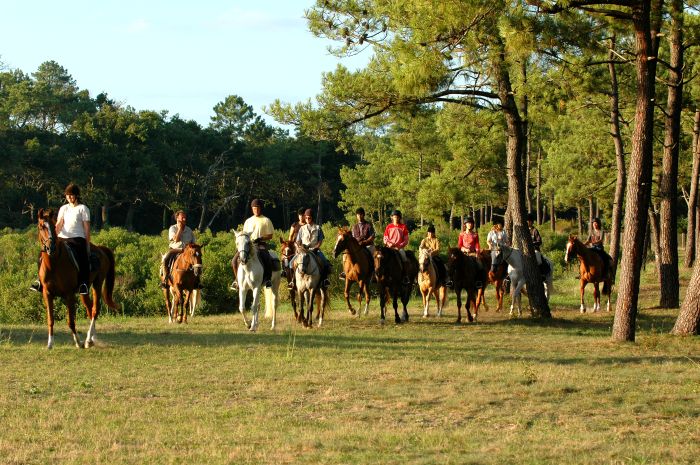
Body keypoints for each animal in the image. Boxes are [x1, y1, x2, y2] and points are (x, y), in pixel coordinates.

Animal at [36, 208, 117, 348]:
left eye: (52, 226)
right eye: (42, 227)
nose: (51, 247)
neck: (54, 264)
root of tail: (100, 249)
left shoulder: (69, 294)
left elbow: (71, 321)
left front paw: (78, 342)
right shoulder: (47, 293)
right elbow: (50, 320)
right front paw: (50, 344)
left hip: (97, 283)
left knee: (95, 309)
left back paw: (88, 340)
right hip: (83, 290)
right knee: (90, 309)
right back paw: (92, 338)